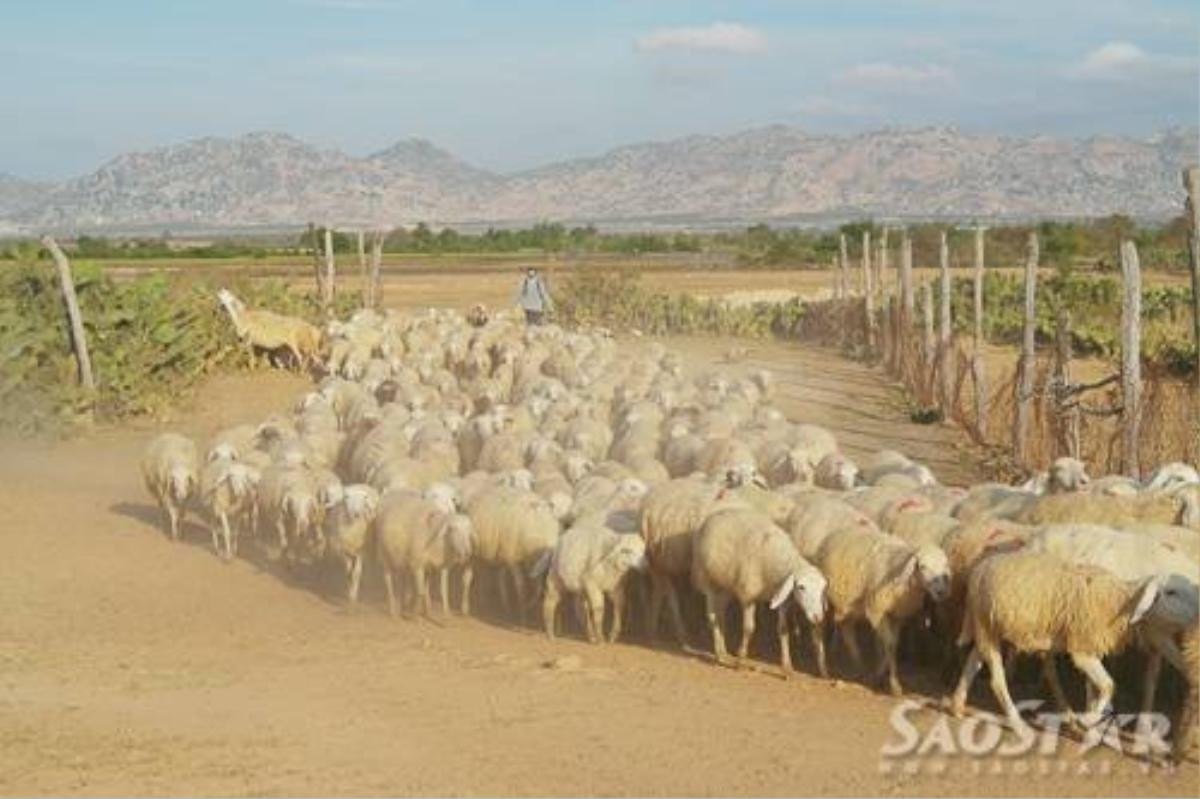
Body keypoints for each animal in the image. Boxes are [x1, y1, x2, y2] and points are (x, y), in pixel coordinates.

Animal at [811, 523, 950, 691]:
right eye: (922, 566)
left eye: (945, 566)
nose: (941, 592)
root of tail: (832, 535)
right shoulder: (877, 611)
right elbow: (888, 645)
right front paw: (894, 685)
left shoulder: (896, 616)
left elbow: (893, 645)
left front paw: (878, 675)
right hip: (824, 599)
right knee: (818, 630)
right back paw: (823, 669)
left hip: (849, 605)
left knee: (847, 631)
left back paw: (859, 665)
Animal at [945, 551, 1200, 729]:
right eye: (1171, 592)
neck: (1120, 602)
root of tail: (979, 568)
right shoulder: (1082, 649)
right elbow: (1108, 685)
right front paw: (1087, 720)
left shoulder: (1091, 646)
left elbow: (1097, 686)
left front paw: (1091, 720)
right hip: (985, 626)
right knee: (997, 680)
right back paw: (1016, 722)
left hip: (987, 627)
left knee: (973, 662)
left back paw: (957, 705)